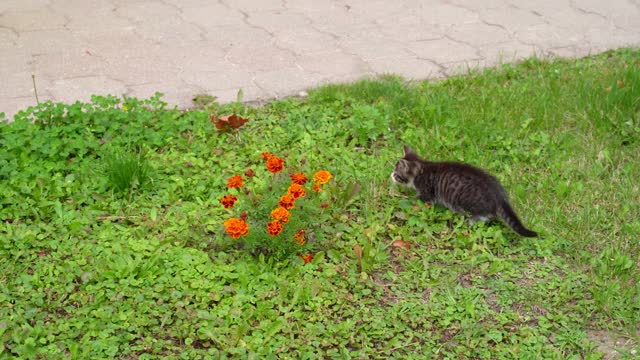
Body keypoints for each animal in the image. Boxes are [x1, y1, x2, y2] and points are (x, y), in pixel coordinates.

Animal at [392, 145, 536, 238]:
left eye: (396, 173)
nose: (391, 175)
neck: (422, 168)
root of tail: (499, 197)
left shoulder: (427, 194)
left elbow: (418, 201)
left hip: (469, 205)